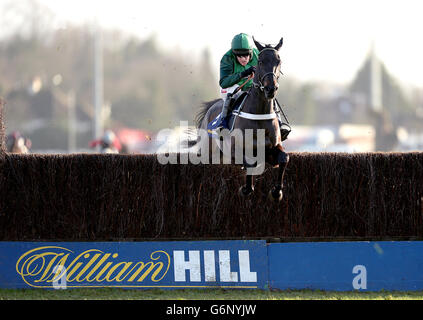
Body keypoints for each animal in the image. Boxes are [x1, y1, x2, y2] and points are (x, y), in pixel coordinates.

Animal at [191, 37, 288, 201]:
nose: (271, 89)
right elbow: (250, 162)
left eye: (279, 61)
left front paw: (277, 191)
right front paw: (246, 189)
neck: (259, 115)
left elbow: (284, 158)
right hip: (209, 153)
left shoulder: (272, 148)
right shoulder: (235, 151)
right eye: (260, 61)